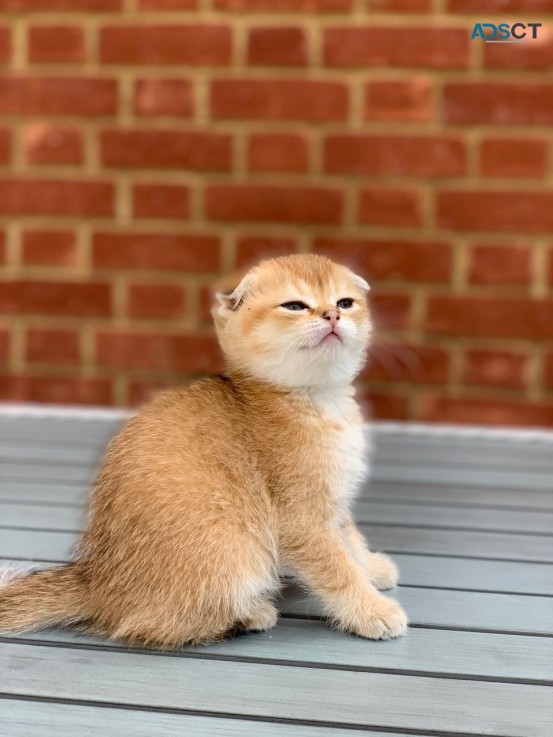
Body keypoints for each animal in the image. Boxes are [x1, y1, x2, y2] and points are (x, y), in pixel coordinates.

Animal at [0, 256, 406, 648]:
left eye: (345, 302)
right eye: (295, 305)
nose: (332, 315)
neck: (319, 399)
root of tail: (97, 581)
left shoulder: (334, 501)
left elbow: (351, 540)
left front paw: (373, 568)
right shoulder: (301, 519)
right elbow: (338, 569)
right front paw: (373, 610)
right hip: (233, 551)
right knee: (151, 625)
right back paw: (251, 614)